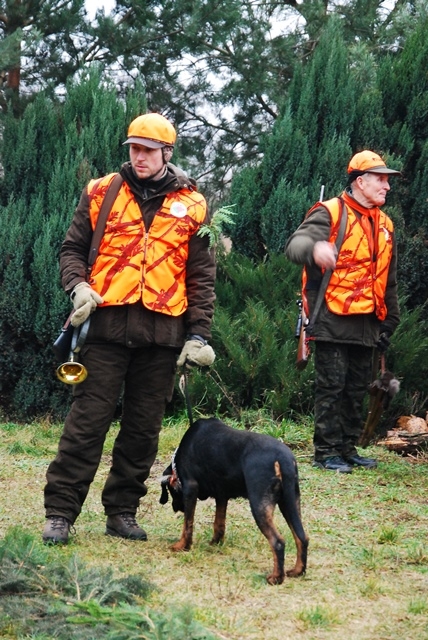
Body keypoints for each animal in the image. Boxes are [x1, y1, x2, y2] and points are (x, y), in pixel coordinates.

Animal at [160, 417, 308, 585]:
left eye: (171, 491)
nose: (175, 508)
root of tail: (282, 459)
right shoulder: (222, 494)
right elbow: (218, 523)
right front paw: (215, 543)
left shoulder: (190, 489)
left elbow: (187, 524)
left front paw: (182, 546)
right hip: (290, 501)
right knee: (302, 537)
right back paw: (297, 571)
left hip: (259, 504)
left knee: (277, 541)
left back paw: (276, 577)